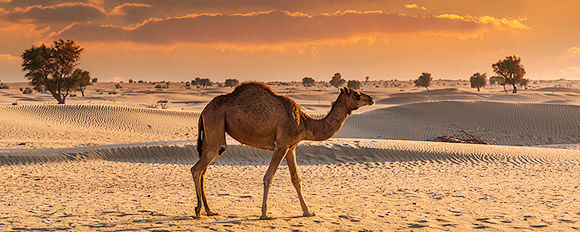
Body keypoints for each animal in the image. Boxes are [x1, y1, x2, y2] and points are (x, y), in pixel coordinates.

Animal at [190, 82, 372, 219]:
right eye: (357, 95)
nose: (371, 99)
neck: (304, 123)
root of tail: (204, 111)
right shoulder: (282, 145)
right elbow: (268, 177)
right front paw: (264, 214)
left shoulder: (291, 147)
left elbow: (296, 178)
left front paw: (307, 212)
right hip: (215, 125)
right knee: (197, 168)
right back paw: (198, 210)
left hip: (210, 133)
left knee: (203, 170)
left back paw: (209, 211)